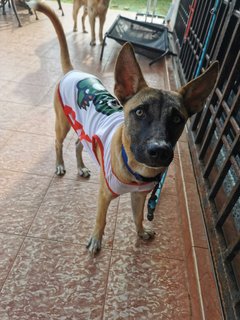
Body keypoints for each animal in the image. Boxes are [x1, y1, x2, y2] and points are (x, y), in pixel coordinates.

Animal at [32, 1, 219, 254]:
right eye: (139, 112)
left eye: (177, 119)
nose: (159, 151)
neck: (136, 168)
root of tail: (72, 71)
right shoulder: (104, 194)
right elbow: (101, 220)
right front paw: (96, 240)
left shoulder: (140, 196)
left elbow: (138, 216)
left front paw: (141, 232)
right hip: (62, 123)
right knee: (58, 143)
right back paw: (60, 165)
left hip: (83, 129)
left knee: (79, 144)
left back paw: (81, 167)